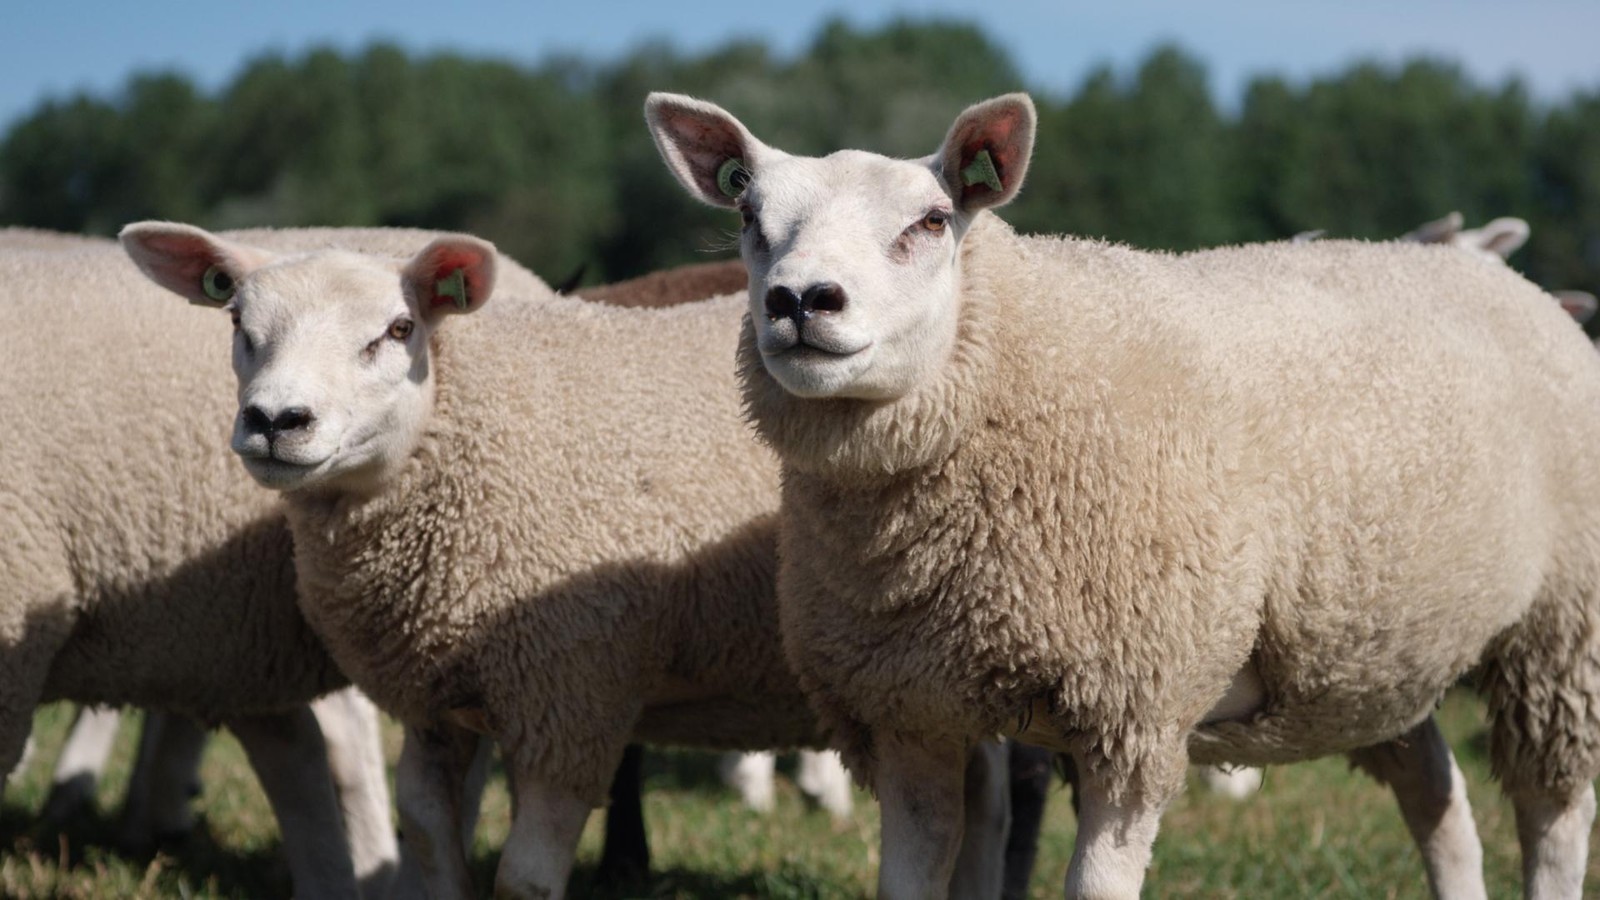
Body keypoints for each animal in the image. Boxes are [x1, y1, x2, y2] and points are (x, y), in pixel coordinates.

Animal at [118, 223, 1015, 900]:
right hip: (939, 661)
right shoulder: (437, 696)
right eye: (239, 326)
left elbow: (524, 879)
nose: (276, 421)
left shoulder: (572, 689)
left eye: (398, 331)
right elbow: (431, 844)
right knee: (980, 800)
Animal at [646, 90, 1600, 899]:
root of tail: (1508, 284)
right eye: (748, 216)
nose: (800, 300)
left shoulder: (1136, 709)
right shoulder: (909, 711)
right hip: (1373, 646)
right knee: (1439, 800)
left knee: (1552, 816)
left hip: (1560, 629)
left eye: (932, 221)